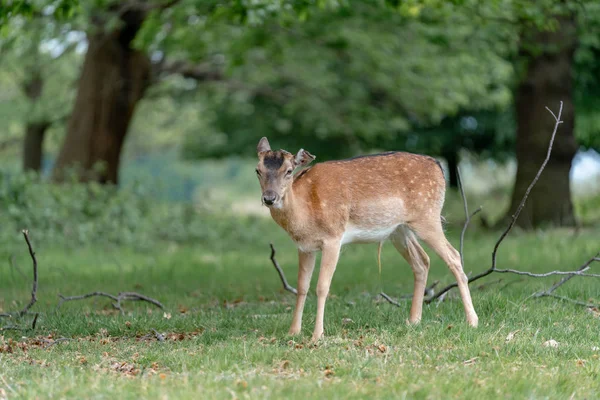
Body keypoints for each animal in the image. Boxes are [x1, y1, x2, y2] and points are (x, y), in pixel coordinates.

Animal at [254, 138, 478, 340]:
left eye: (289, 171)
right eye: (258, 170)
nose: (269, 198)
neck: (304, 214)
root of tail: (438, 167)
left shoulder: (333, 237)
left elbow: (322, 286)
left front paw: (317, 336)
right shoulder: (304, 247)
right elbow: (301, 287)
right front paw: (293, 332)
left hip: (427, 216)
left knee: (454, 256)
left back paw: (472, 321)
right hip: (399, 229)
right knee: (422, 261)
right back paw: (413, 320)